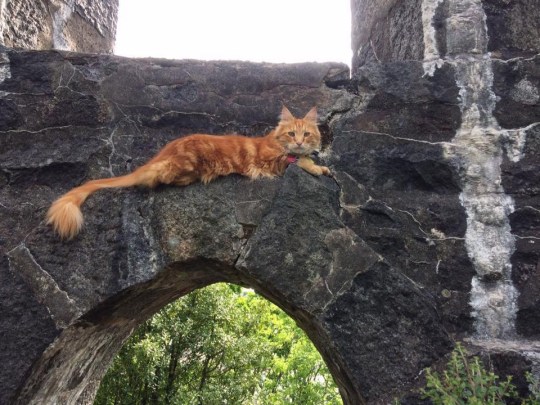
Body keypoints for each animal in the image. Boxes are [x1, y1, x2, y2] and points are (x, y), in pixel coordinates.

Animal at [46, 105, 332, 238]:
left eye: (306, 134)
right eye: (292, 134)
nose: (299, 141)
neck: (275, 141)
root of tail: (162, 152)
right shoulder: (274, 160)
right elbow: (298, 161)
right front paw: (318, 167)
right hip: (186, 161)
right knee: (156, 179)